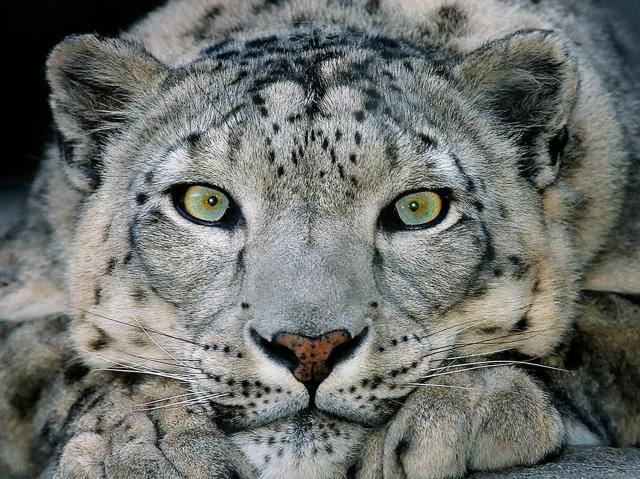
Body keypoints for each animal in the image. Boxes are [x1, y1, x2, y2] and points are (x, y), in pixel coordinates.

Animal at [1, 0, 638, 478]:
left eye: (419, 208)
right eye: (205, 202)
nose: (310, 348)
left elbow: (586, 330)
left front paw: (461, 406)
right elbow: (53, 354)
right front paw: (147, 440)